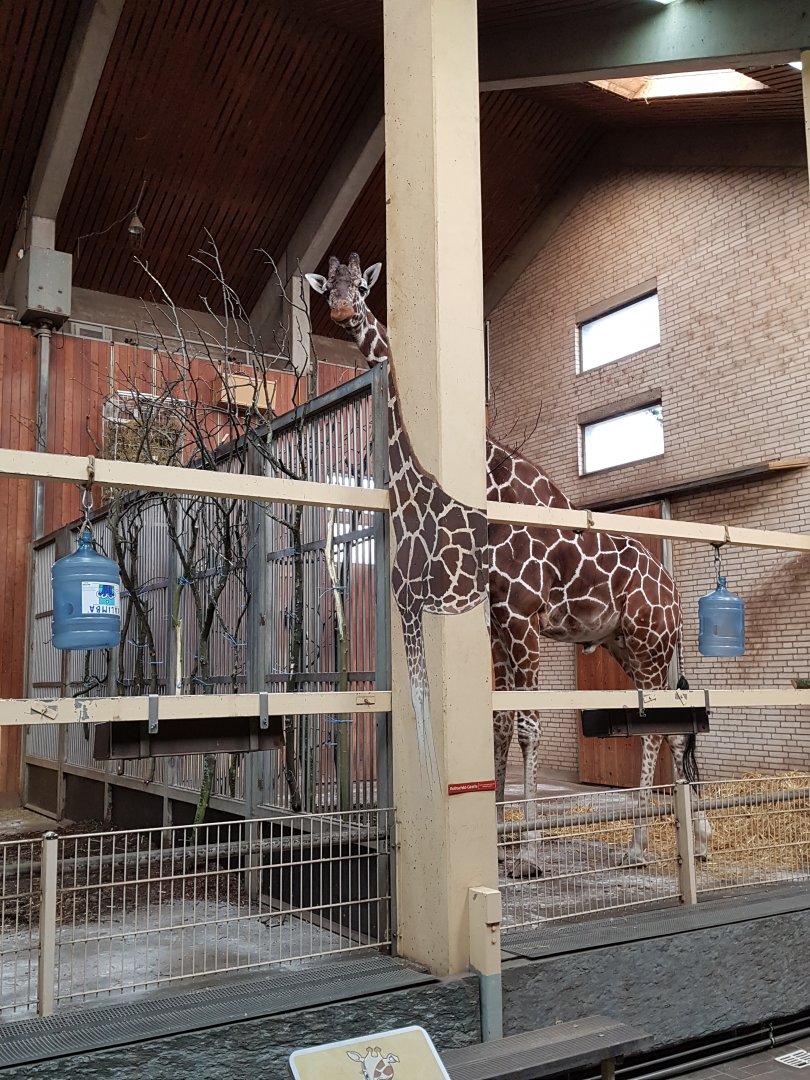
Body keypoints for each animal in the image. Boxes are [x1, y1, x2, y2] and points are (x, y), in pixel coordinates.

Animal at [306, 254, 710, 860]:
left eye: (360, 286)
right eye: (327, 287)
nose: (339, 311)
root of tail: (675, 594)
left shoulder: (522, 616)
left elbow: (528, 725)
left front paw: (530, 850)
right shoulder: (497, 620)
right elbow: (498, 725)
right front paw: (499, 841)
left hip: (650, 641)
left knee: (663, 726)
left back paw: (644, 841)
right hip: (628, 645)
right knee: (669, 721)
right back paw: (688, 838)